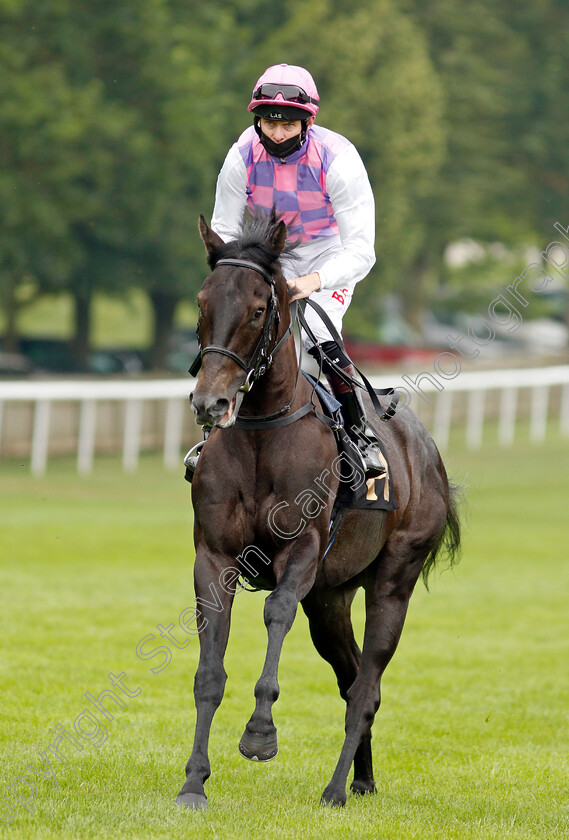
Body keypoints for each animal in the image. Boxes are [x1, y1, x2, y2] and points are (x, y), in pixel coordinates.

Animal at [175, 213, 460, 812]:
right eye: (202, 301)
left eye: (259, 307)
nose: (211, 403)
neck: (261, 431)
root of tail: (426, 449)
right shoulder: (213, 558)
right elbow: (209, 669)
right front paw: (193, 782)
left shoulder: (302, 550)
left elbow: (276, 612)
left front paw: (260, 734)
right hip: (331, 598)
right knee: (351, 678)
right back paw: (361, 778)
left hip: (393, 579)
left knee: (367, 684)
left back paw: (335, 788)